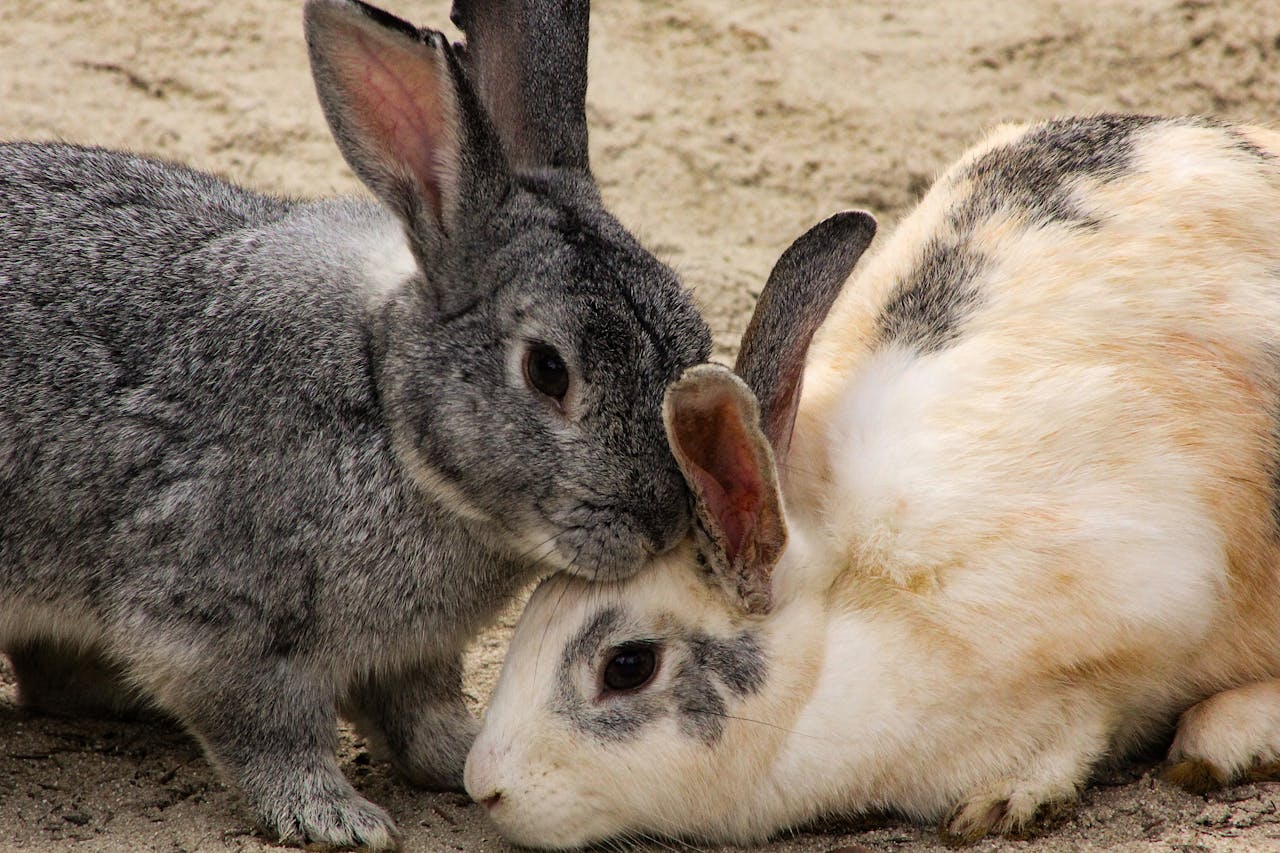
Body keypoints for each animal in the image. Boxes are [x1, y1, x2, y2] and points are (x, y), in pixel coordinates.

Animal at [0, 0, 711, 845]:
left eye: (695, 338)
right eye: (548, 370)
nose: (664, 521)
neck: (386, 408)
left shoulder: (412, 655)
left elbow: (418, 715)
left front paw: (462, 757)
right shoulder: (219, 624)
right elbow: (270, 731)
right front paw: (335, 815)